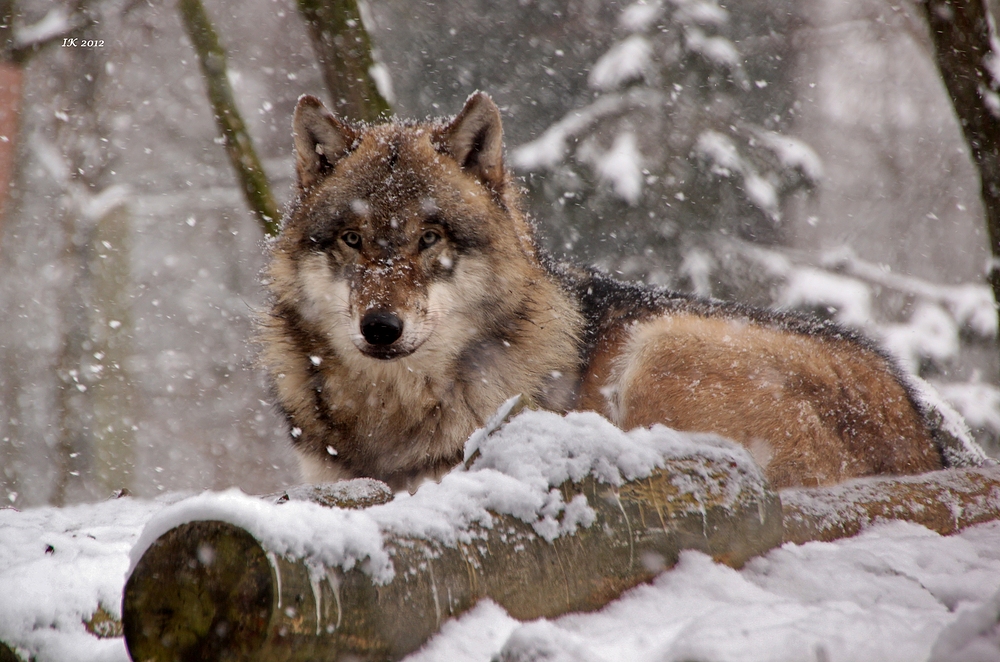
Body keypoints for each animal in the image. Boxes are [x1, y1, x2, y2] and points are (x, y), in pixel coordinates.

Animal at [260, 91, 944, 492]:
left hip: (660, 350)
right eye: (352, 238)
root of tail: (925, 441)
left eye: (430, 237)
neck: (392, 413)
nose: (380, 328)